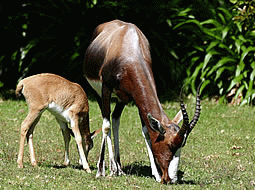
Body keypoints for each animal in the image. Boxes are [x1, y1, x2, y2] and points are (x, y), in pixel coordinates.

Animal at [83, 20, 201, 183]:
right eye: (170, 144)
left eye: (182, 145)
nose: (171, 179)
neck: (128, 46)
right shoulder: (106, 88)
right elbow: (105, 126)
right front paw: (101, 171)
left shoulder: (135, 97)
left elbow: (145, 130)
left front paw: (156, 175)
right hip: (99, 94)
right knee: (107, 122)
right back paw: (111, 168)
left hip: (122, 99)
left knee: (115, 119)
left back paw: (118, 168)